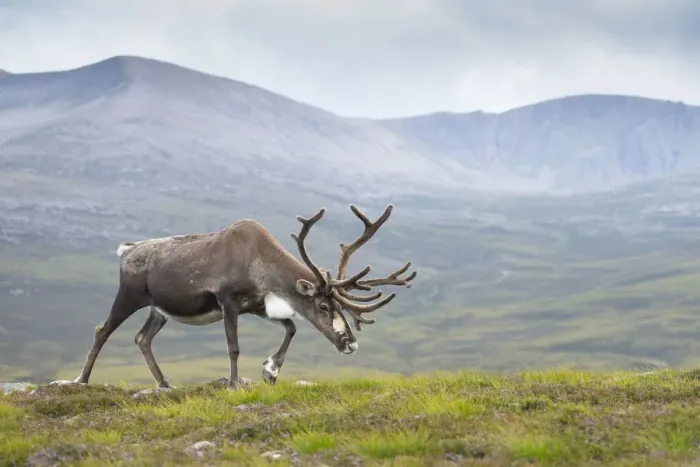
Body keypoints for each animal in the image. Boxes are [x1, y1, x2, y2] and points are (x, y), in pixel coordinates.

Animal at [59, 204, 416, 390]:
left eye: (342, 305)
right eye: (324, 305)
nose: (350, 344)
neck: (260, 263)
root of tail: (127, 250)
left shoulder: (257, 305)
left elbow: (291, 327)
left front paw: (270, 370)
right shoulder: (228, 301)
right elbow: (234, 347)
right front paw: (233, 384)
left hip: (158, 309)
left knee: (142, 338)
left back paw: (164, 384)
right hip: (129, 295)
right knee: (103, 330)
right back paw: (82, 379)